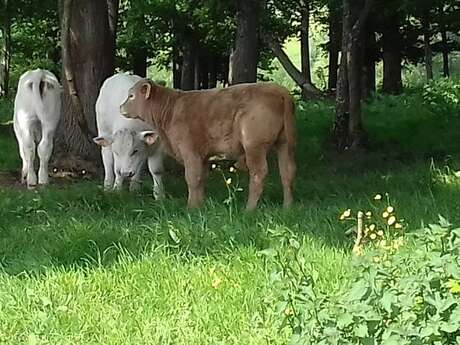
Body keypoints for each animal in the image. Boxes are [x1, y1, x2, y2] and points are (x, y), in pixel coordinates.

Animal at [120, 80, 296, 210]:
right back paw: (287, 207)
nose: (120, 107)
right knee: (287, 171)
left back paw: (249, 209)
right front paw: (200, 205)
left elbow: (192, 179)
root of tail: (280, 90)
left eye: (131, 96)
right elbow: (201, 179)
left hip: (254, 146)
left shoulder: (190, 152)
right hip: (285, 144)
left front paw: (191, 207)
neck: (171, 110)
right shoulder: (203, 156)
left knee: (259, 173)